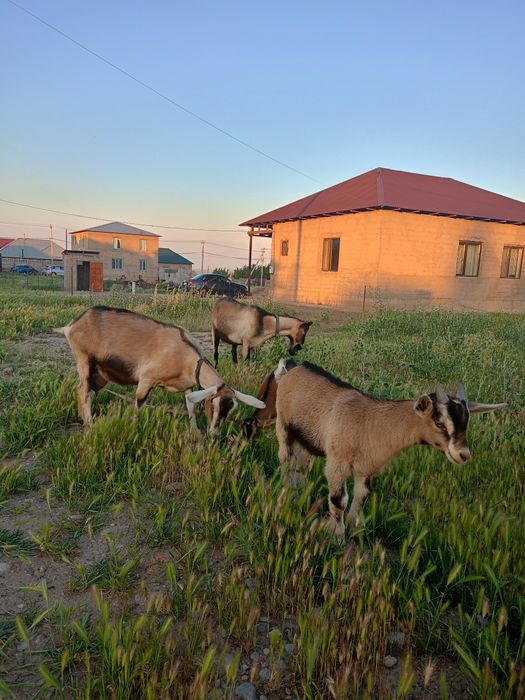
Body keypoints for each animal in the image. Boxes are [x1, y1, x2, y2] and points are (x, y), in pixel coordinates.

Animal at [55, 306, 264, 433]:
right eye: (213, 404)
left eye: (232, 410)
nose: (214, 433)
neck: (186, 357)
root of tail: (72, 326)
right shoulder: (146, 379)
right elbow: (139, 405)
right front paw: (134, 429)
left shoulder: (187, 387)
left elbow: (190, 408)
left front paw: (195, 432)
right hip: (84, 360)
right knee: (84, 391)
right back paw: (90, 424)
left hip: (100, 374)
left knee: (82, 390)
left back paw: (83, 418)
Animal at [275, 361, 507, 541]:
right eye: (440, 422)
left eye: (466, 422)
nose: (463, 454)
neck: (369, 423)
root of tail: (293, 368)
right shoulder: (336, 465)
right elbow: (339, 500)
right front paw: (337, 538)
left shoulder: (366, 468)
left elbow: (362, 496)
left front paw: (353, 529)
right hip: (283, 427)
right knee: (286, 461)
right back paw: (287, 495)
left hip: (307, 440)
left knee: (301, 465)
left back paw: (300, 492)